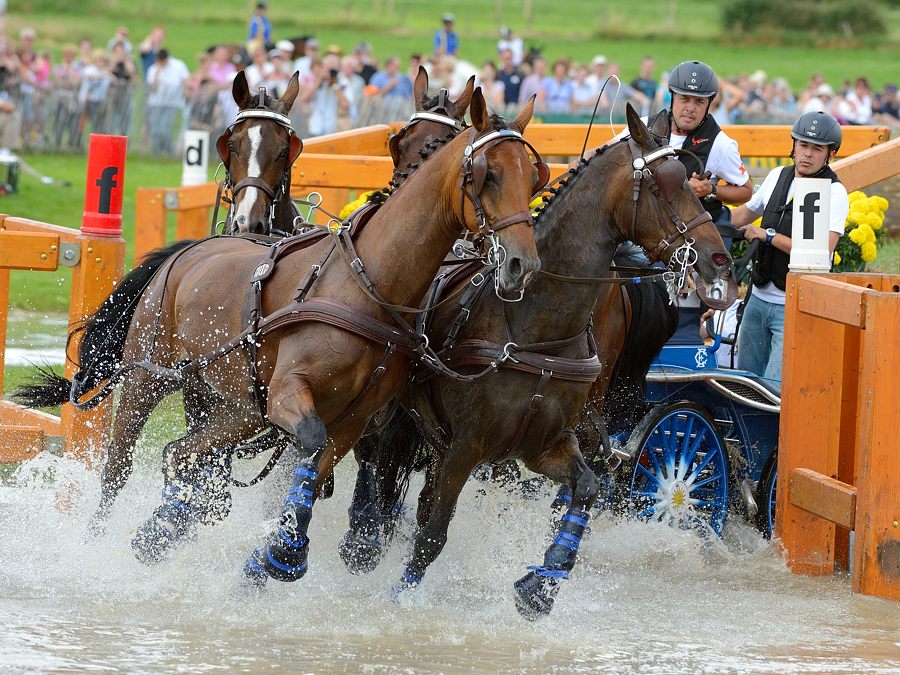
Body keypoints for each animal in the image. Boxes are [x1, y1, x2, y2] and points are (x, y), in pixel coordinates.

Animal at [14, 87, 544, 580]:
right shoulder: (291, 395)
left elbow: (319, 464)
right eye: (486, 174)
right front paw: (286, 546)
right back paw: (97, 545)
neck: (368, 283)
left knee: (184, 455)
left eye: (533, 175)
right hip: (151, 379)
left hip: (231, 403)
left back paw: (163, 530)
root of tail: (188, 250)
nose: (522, 263)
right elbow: (307, 446)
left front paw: (282, 548)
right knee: (118, 469)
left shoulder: (355, 419)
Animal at [356, 104, 736, 616]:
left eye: (694, 181)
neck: (532, 329)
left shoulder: (545, 444)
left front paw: (542, 583)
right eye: (665, 184)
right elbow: (434, 531)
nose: (720, 261)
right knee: (380, 469)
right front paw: (401, 595)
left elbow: (586, 489)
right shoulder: (467, 445)